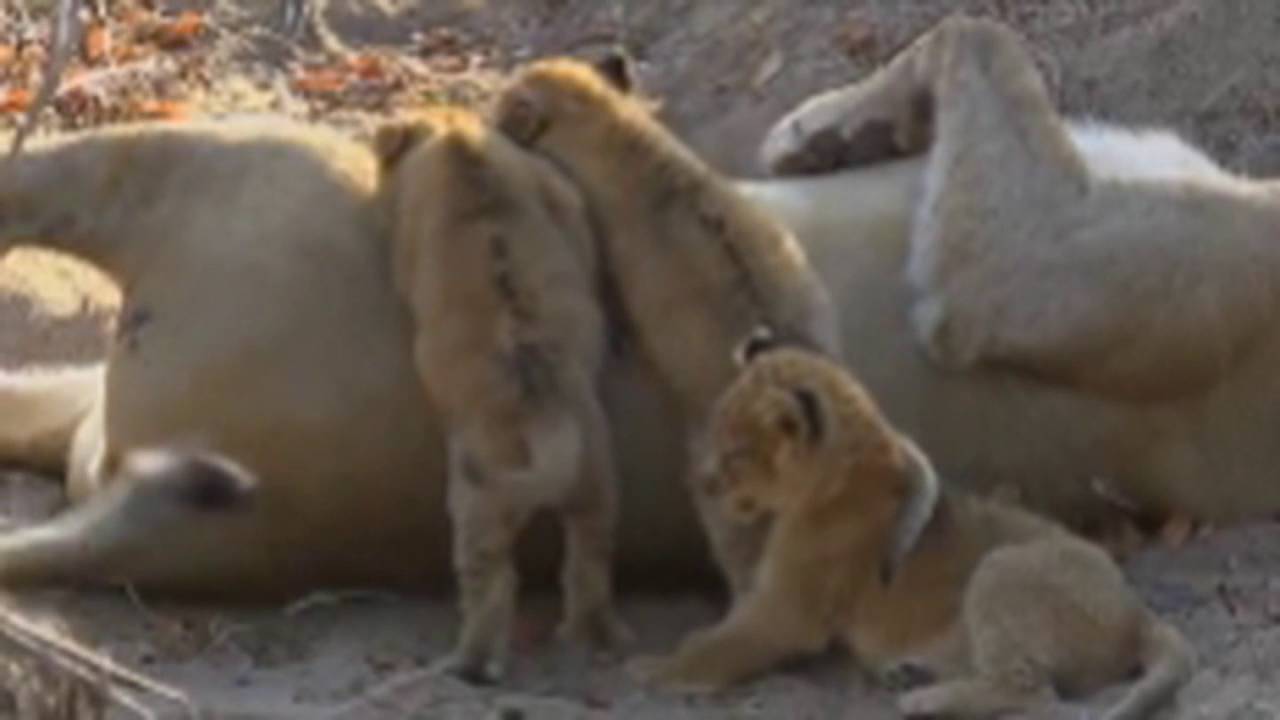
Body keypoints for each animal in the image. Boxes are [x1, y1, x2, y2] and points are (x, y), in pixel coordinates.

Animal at [374, 107, 628, 680]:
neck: (458, 141)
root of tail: (543, 409)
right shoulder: (559, 194)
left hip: (478, 503)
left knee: (493, 586)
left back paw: (470, 664)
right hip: (596, 477)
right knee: (590, 561)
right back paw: (594, 637)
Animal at [632, 329, 1194, 720]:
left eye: (737, 454)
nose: (700, 484)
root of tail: (1138, 610)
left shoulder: (787, 608)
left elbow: (720, 645)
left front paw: (657, 669)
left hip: (1001, 568)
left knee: (1035, 693)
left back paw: (926, 699)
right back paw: (909, 673)